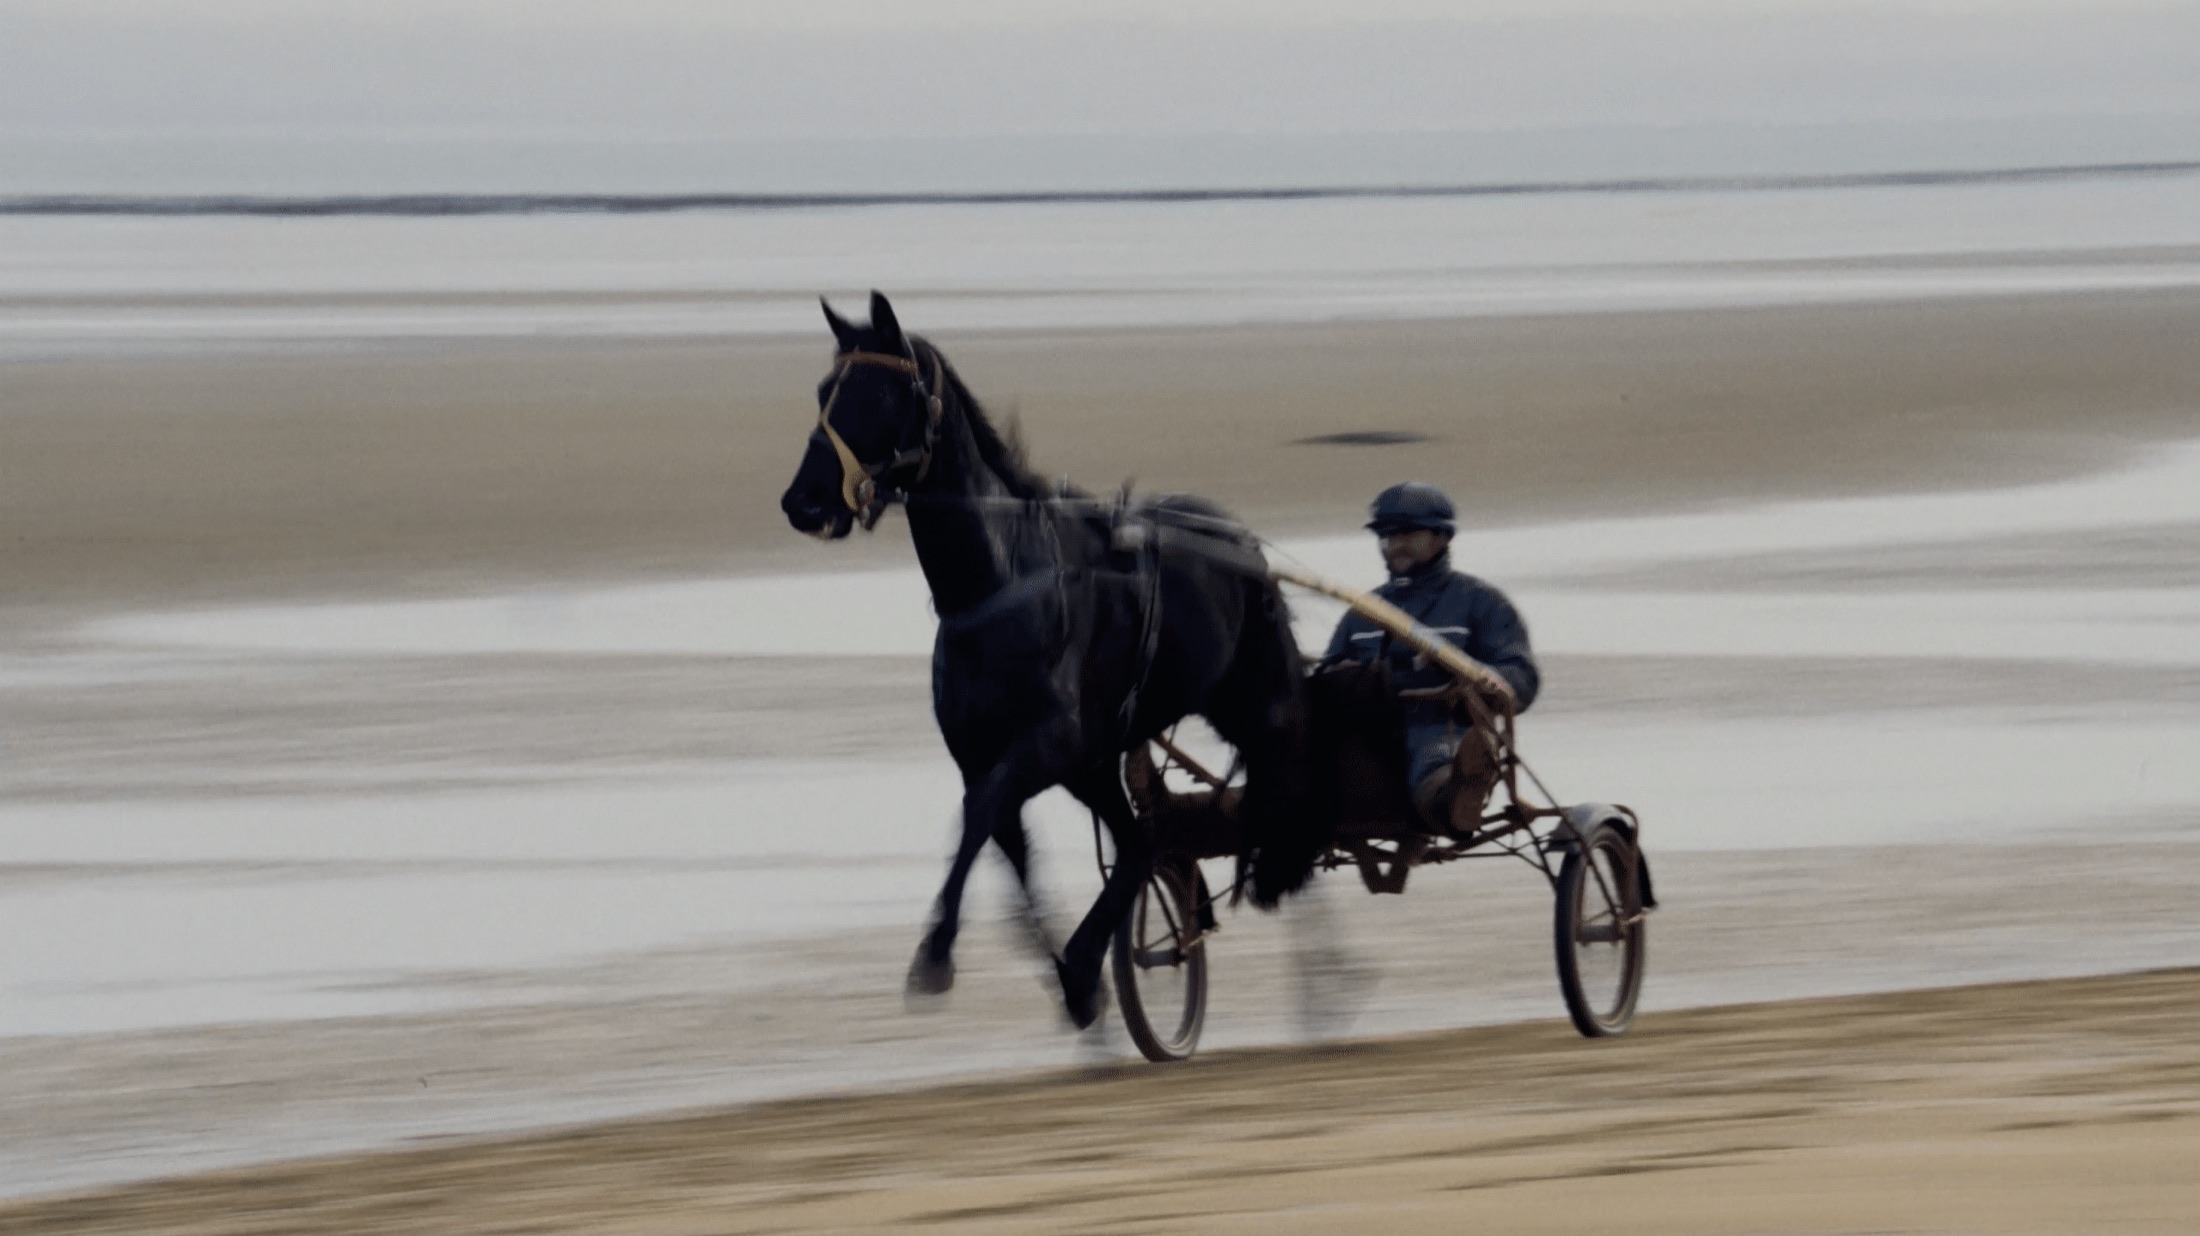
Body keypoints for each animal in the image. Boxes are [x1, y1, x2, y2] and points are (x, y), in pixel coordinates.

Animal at [778, 291, 1326, 1028]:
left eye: (882, 392)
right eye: (823, 391)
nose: (803, 502)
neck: (997, 583)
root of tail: (1240, 540)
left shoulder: (1051, 743)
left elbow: (980, 815)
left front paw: (935, 954)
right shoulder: (1003, 753)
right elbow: (1010, 853)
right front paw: (1075, 979)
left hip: (1246, 701)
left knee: (1280, 779)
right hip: (1099, 762)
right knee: (1140, 841)